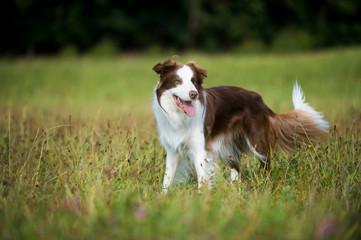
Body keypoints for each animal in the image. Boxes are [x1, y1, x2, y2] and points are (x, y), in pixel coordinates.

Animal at [150, 57, 328, 192]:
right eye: (178, 81)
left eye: (194, 82)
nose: (193, 94)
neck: (179, 116)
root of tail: (260, 100)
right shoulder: (173, 149)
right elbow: (167, 177)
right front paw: (163, 197)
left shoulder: (200, 148)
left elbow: (202, 176)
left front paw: (201, 198)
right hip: (227, 143)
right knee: (235, 164)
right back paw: (234, 186)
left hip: (257, 141)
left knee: (266, 162)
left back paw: (264, 185)